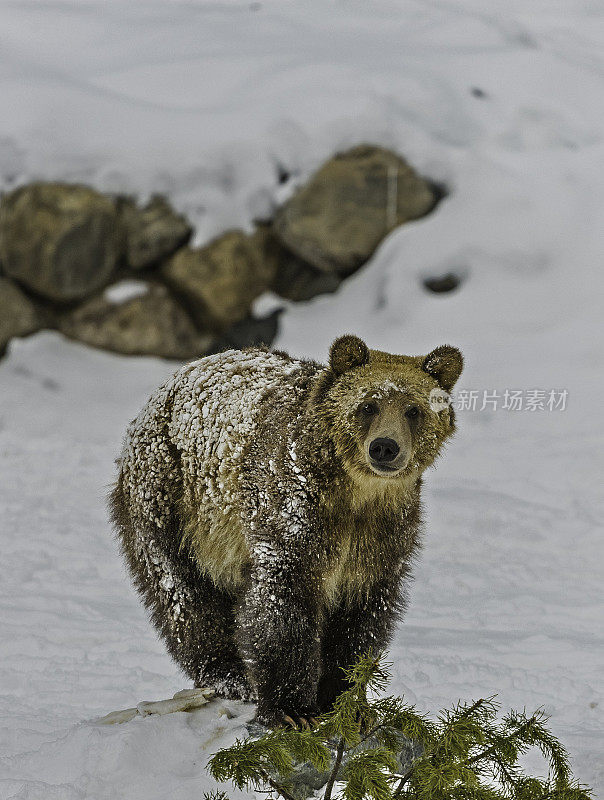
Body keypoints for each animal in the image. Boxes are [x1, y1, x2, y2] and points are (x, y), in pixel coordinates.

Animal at [111, 334, 462, 728]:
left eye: (413, 410)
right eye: (368, 405)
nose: (385, 447)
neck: (354, 493)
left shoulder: (381, 538)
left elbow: (361, 617)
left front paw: (346, 700)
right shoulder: (294, 512)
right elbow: (283, 604)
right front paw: (291, 708)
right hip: (171, 498)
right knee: (182, 592)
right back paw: (228, 674)